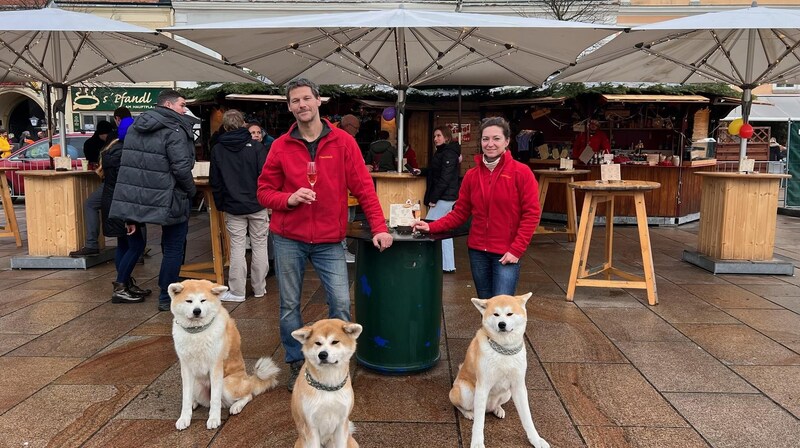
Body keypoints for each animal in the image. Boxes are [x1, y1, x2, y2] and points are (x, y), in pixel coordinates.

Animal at [170, 280, 282, 430]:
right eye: (189, 301)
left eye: (203, 300)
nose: (197, 311)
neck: (197, 332)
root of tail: (249, 379)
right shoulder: (186, 368)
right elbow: (186, 398)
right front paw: (184, 418)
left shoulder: (216, 367)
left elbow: (215, 400)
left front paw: (214, 419)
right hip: (197, 385)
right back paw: (195, 402)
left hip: (226, 384)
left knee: (248, 395)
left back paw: (236, 406)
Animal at [290, 318, 362, 448]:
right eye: (317, 343)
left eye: (335, 342)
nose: (322, 354)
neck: (328, 386)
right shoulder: (311, 427)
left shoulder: (342, 423)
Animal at [450, 294, 552, 448]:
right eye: (496, 314)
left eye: (509, 314)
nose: (501, 324)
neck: (504, 350)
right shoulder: (482, 387)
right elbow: (479, 423)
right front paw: (477, 442)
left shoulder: (519, 387)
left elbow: (527, 418)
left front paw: (536, 439)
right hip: (465, 392)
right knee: (461, 406)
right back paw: (468, 413)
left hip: (507, 394)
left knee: (495, 405)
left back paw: (498, 409)